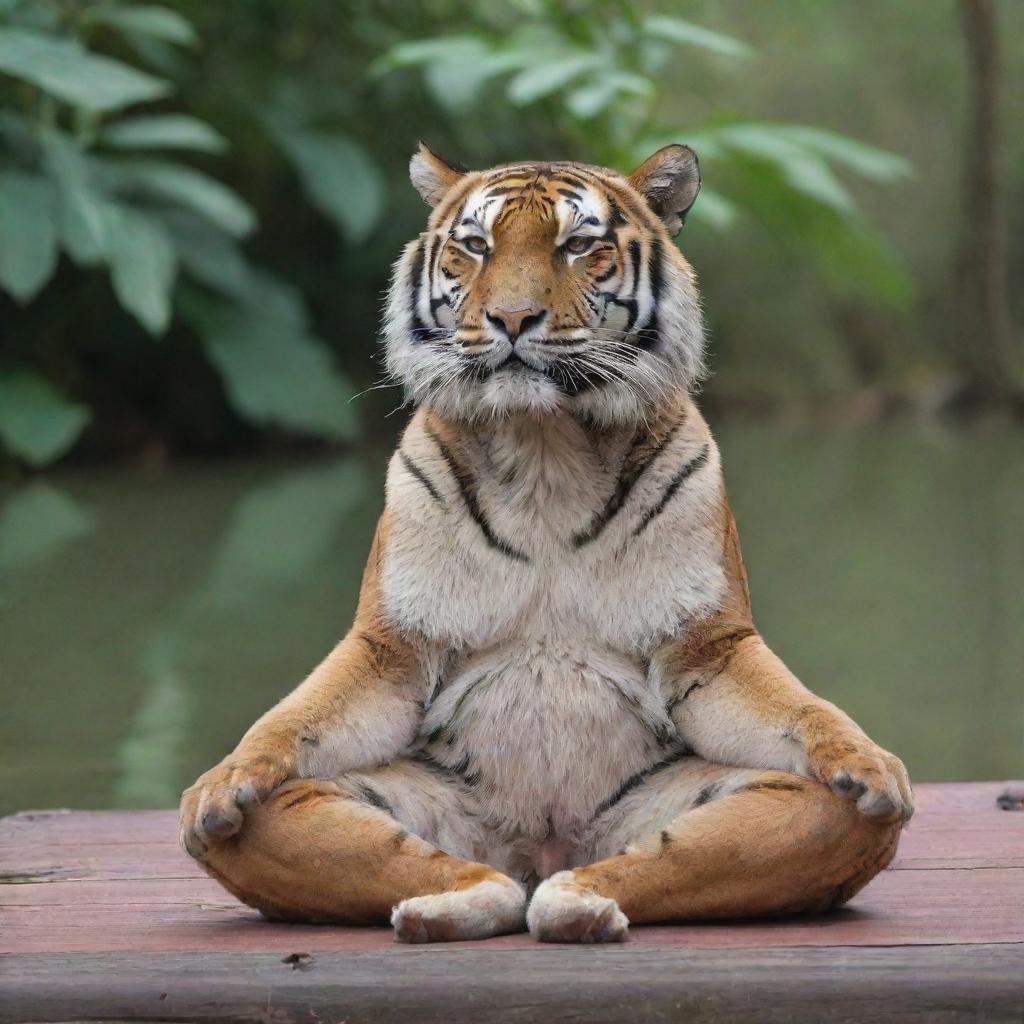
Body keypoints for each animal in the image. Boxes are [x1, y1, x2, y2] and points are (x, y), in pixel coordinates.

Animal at [180, 144, 917, 942]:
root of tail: (543, 846)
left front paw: (866, 762)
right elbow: (301, 712)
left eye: (578, 245)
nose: (511, 318)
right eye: (476, 246)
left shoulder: (708, 645)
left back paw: (578, 901)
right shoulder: (393, 643)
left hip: (756, 809)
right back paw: (450, 906)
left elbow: (796, 704)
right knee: (450, 870)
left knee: (674, 854)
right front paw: (228, 776)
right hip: (339, 809)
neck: (544, 449)